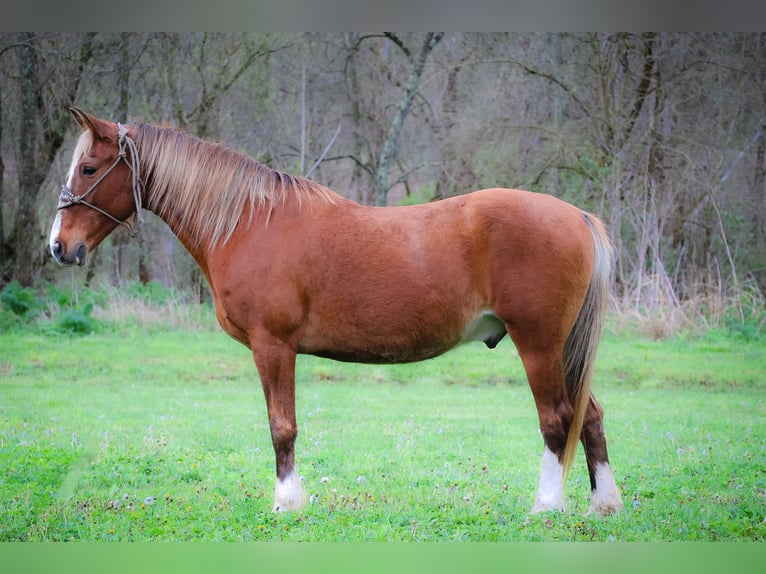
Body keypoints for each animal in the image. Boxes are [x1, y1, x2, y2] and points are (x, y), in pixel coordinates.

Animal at [49, 108, 624, 516]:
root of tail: (576, 215)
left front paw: (287, 503)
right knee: (590, 416)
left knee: (557, 419)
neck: (248, 222)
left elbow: (282, 426)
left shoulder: (273, 345)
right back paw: (604, 505)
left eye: (89, 168)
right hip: (562, 349)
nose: (58, 246)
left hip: (539, 345)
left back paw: (547, 507)